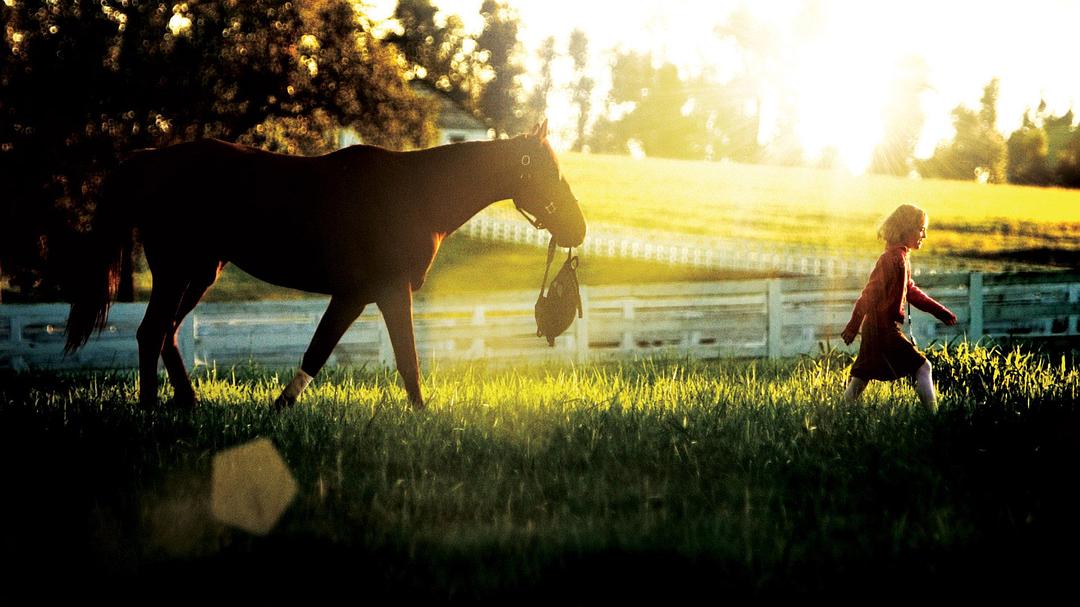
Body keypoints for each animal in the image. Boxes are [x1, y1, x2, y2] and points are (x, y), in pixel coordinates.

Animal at [63, 119, 587, 408]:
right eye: (549, 172)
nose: (579, 229)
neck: (414, 194)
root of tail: (150, 159)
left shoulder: (356, 296)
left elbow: (320, 352)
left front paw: (279, 409)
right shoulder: (386, 291)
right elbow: (405, 359)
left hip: (201, 273)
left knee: (168, 333)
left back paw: (188, 404)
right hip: (177, 271)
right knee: (151, 332)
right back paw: (153, 409)